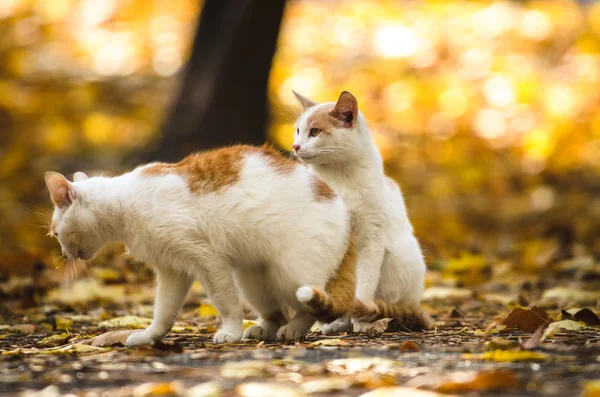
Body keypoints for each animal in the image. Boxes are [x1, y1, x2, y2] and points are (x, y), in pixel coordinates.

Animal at [45, 145, 356, 344]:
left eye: (56, 234)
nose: (64, 253)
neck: (124, 201)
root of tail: (343, 208)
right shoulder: (171, 270)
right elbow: (164, 312)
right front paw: (150, 336)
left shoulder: (207, 259)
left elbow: (225, 302)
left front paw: (230, 332)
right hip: (252, 278)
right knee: (276, 312)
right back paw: (264, 329)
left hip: (288, 274)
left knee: (310, 307)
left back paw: (293, 328)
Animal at [292, 89, 428, 332]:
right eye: (298, 131)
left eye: (315, 132)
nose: (295, 146)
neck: (339, 177)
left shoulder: (371, 238)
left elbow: (364, 284)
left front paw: (362, 319)